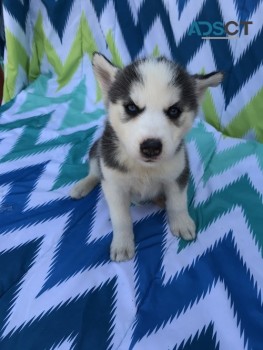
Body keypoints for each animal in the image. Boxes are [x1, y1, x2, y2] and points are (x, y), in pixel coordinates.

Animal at [71, 52, 224, 262]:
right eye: (131, 108)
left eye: (174, 110)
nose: (151, 147)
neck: (144, 168)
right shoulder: (113, 183)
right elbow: (121, 218)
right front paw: (122, 243)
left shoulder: (178, 172)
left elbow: (178, 202)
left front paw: (181, 221)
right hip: (98, 151)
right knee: (95, 172)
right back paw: (82, 185)